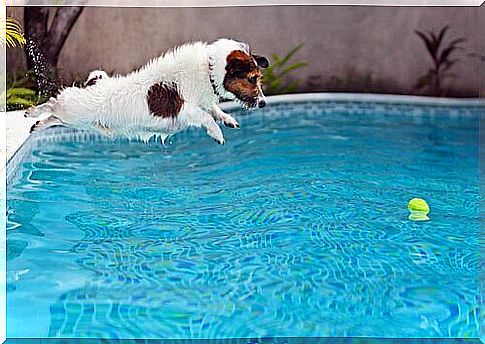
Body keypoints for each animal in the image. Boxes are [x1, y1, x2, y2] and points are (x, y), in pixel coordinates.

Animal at [26, 38, 268, 144]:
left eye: (258, 78)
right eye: (251, 79)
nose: (263, 103)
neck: (208, 68)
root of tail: (94, 84)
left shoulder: (204, 101)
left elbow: (214, 109)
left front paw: (228, 119)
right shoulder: (185, 109)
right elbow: (206, 117)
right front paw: (217, 133)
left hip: (80, 121)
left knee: (54, 118)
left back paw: (37, 125)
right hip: (73, 109)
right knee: (53, 104)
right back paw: (32, 112)